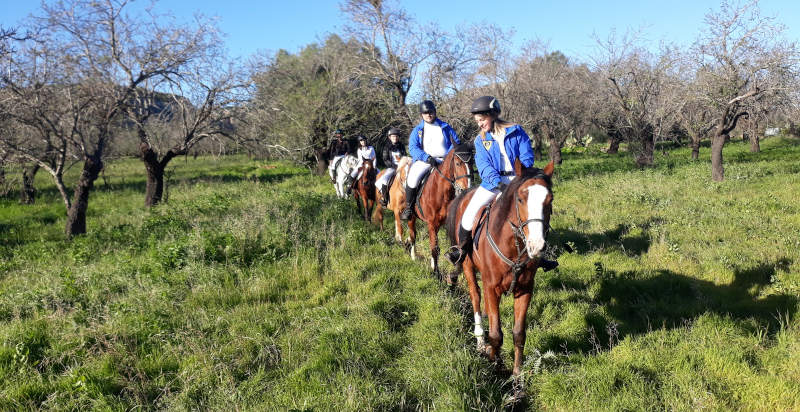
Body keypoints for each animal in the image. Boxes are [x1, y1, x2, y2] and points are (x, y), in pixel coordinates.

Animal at [446, 159, 555, 376]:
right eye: (520, 199)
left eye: (550, 200)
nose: (537, 245)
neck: (513, 246)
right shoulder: (491, 287)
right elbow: (496, 334)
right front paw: (493, 361)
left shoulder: (525, 289)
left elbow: (519, 333)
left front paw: (517, 375)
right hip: (469, 268)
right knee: (476, 296)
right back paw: (480, 339)